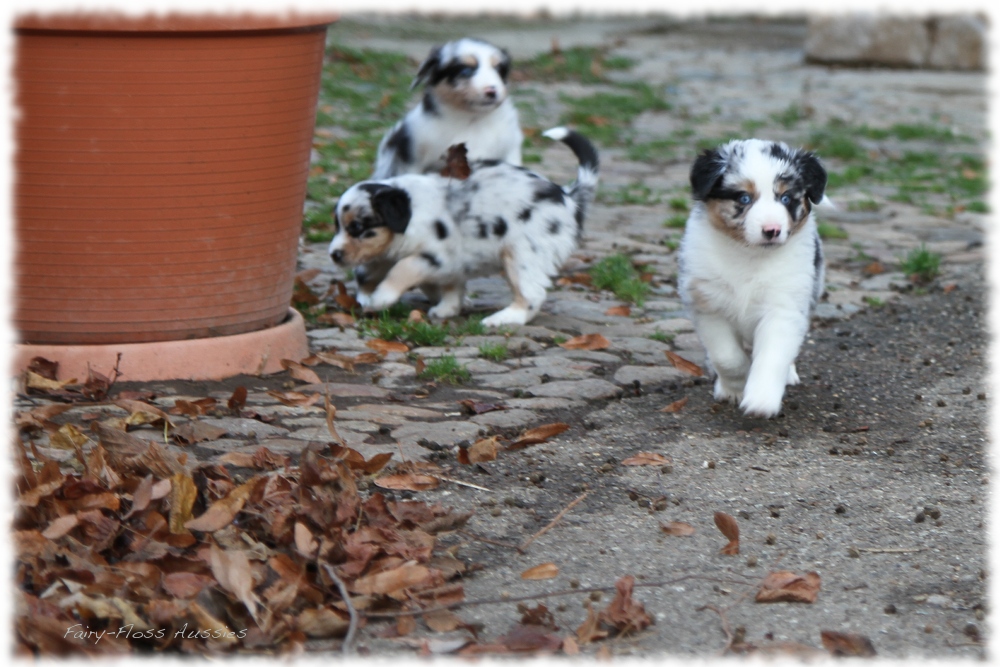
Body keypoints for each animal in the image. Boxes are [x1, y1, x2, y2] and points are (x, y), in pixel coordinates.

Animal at [328, 127, 596, 326]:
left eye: (357, 227)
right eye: (337, 226)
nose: (334, 255)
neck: (410, 216)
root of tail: (568, 197)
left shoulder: (434, 256)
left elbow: (401, 270)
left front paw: (380, 298)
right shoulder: (449, 263)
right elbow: (446, 286)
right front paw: (448, 308)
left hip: (523, 256)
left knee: (531, 295)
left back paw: (502, 319)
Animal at [370, 37, 524, 179]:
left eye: (498, 69)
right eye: (466, 71)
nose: (492, 92)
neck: (471, 119)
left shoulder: (511, 149)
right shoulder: (412, 158)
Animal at [680, 138, 828, 418]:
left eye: (785, 198)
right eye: (744, 198)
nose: (772, 230)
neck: (750, 256)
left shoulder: (784, 307)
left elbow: (772, 355)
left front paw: (761, 400)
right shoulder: (709, 306)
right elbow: (727, 357)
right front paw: (734, 388)